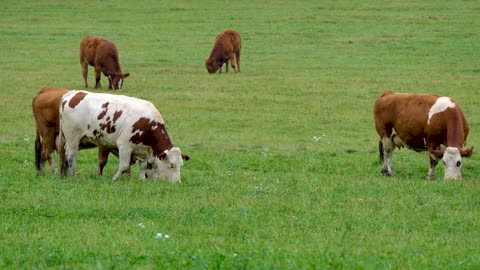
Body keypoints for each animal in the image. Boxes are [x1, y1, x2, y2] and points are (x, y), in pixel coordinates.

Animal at [58, 90, 189, 181]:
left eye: (181, 165)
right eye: (171, 165)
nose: (177, 182)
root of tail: (72, 94)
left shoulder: (142, 150)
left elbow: (142, 166)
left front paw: (142, 180)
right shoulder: (124, 146)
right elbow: (125, 166)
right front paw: (114, 179)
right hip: (73, 138)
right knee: (71, 155)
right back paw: (73, 175)